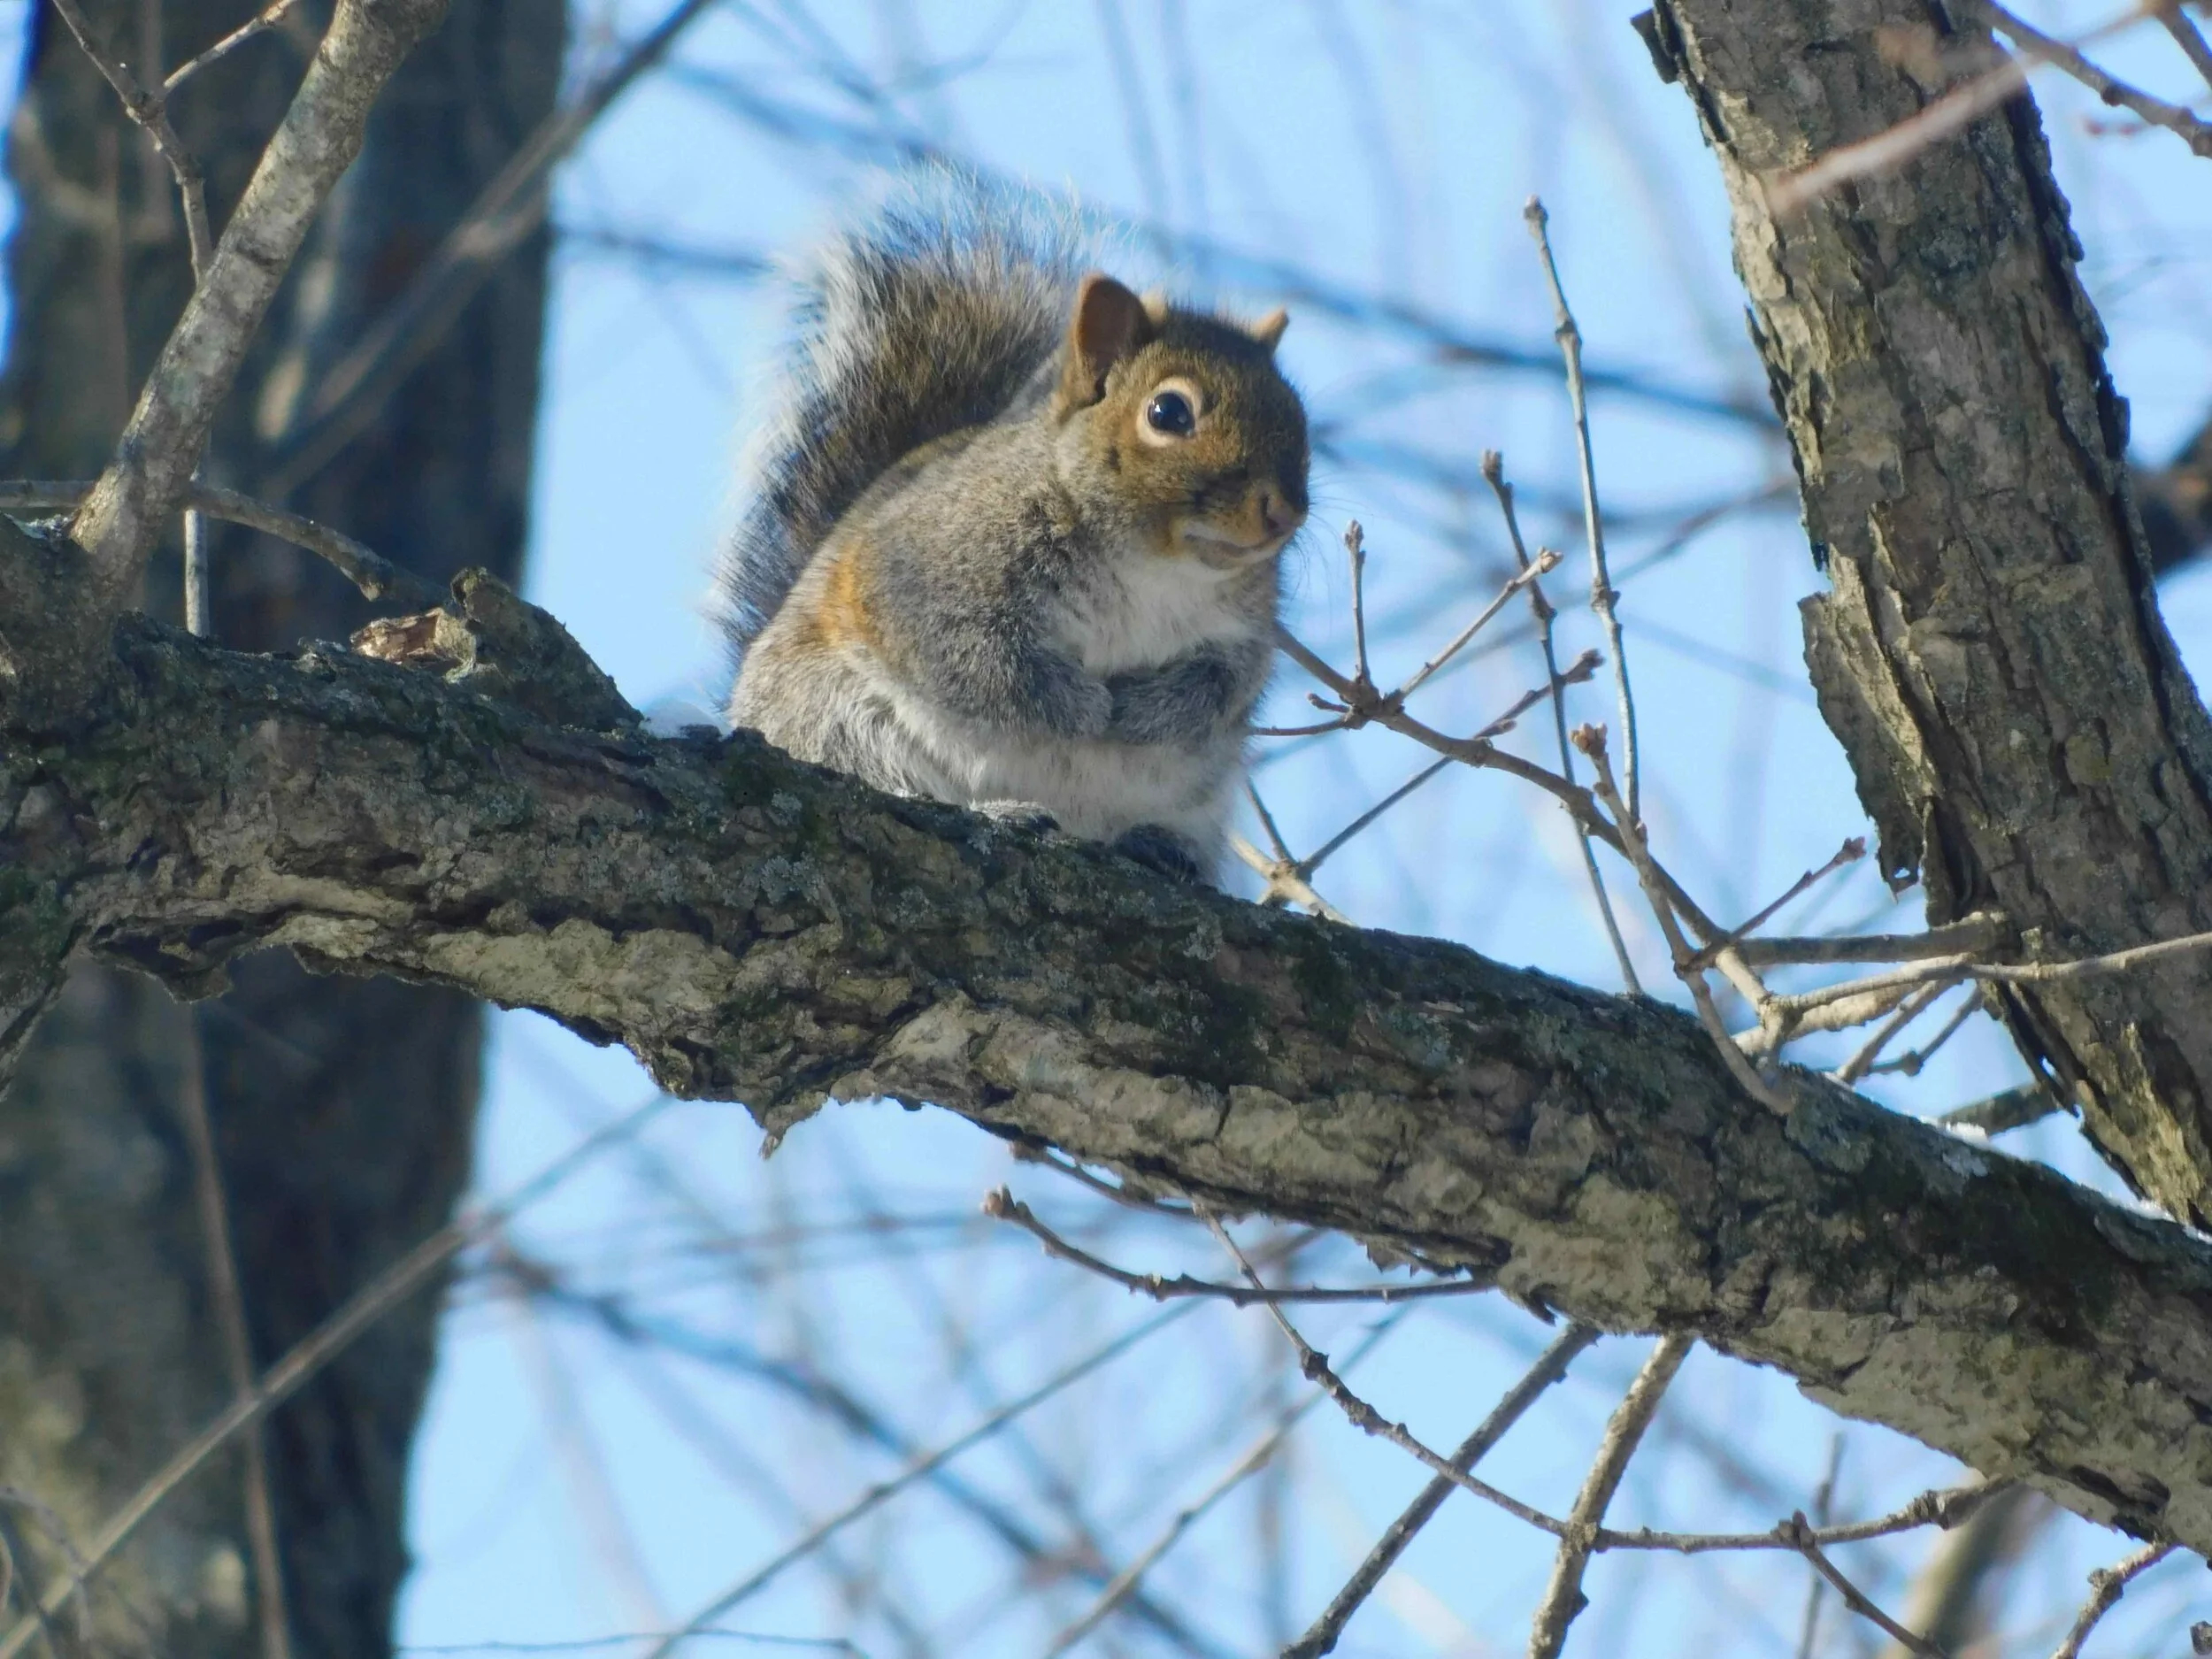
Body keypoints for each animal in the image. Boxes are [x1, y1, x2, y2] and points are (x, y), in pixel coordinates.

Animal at [719, 171, 1310, 883]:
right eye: (1168, 412)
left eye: (1298, 414)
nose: (1284, 511)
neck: (1154, 568)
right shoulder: (924, 579)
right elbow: (986, 664)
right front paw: (1085, 706)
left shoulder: (1242, 634)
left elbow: (1223, 687)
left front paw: (1145, 713)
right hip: (835, 718)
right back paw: (999, 811)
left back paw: (1160, 846)